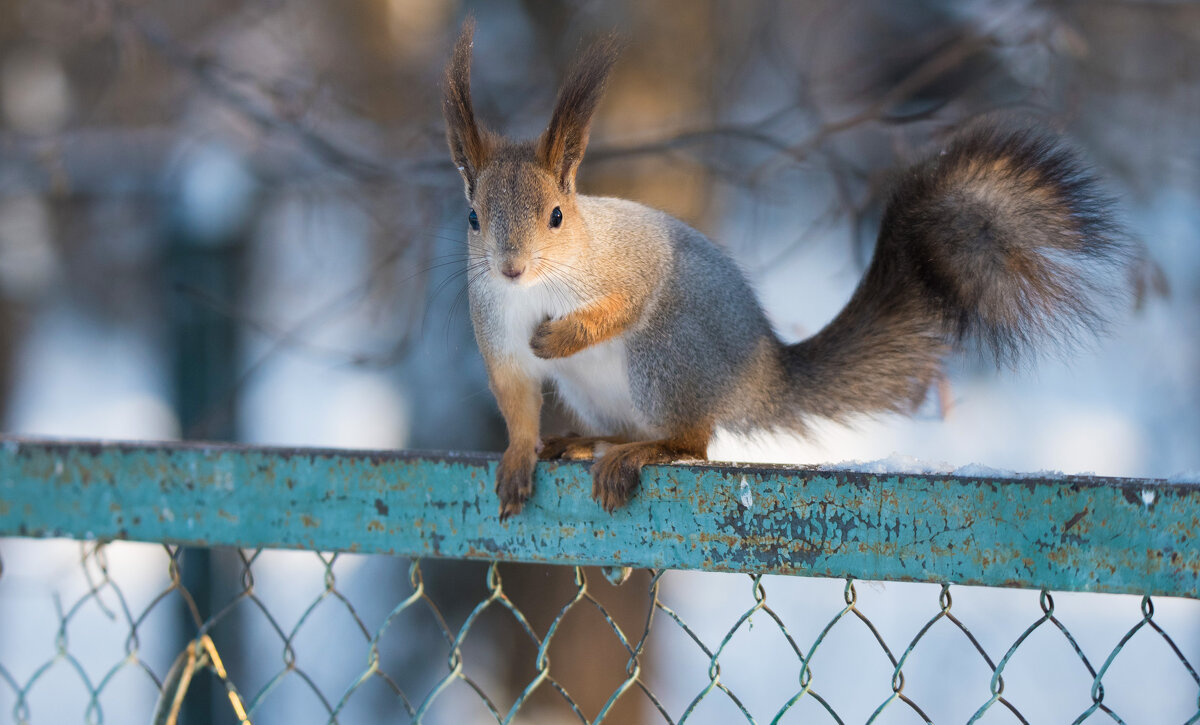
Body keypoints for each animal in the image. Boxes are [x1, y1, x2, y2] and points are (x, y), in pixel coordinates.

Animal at [439, 19, 1123, 518]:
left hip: (667, 356)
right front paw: (518, 458)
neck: (537, 290)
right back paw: (579, 441)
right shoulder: (495, 331)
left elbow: (622, 304)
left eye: (557, 216)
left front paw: (560, 336)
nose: (510, 268)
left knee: (693, 443)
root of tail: (761, 375)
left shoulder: (626, 265)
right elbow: (515, 397)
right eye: (472, 218)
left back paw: (639, 453)